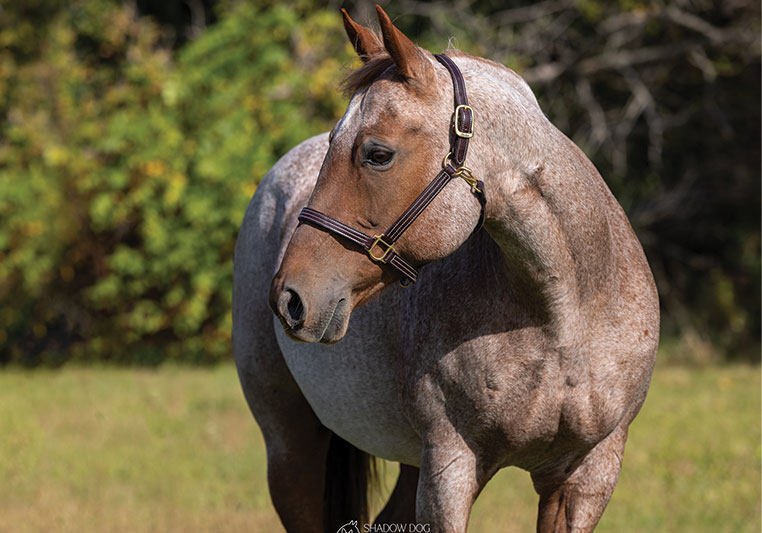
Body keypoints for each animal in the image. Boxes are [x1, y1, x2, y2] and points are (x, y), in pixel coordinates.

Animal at [233, 6, 659, 532]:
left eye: (378, 153)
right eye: (335, 142)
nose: (290, 298)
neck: (564, 315)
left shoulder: (587, 476)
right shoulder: (449, 471)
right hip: (290, 448)